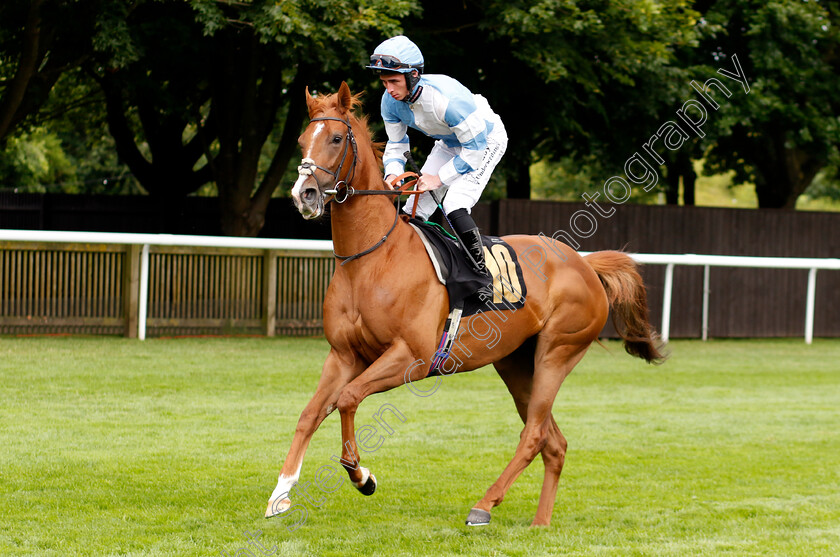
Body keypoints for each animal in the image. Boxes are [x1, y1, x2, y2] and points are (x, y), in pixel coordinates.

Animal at [268, 82, 664, 524]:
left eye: (336, 139)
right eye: (302, 139)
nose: (304, 195)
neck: (371, 259)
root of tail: (584, 263)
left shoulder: (413, 357)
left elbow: (348, 399)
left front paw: (361, 475)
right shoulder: (343, 355)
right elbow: (310, 413)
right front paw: (281, 493)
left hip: (557, 353)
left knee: (534, 434)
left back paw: (484, 505)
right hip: (515, 363)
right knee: (554, 442)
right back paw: (540, 522)